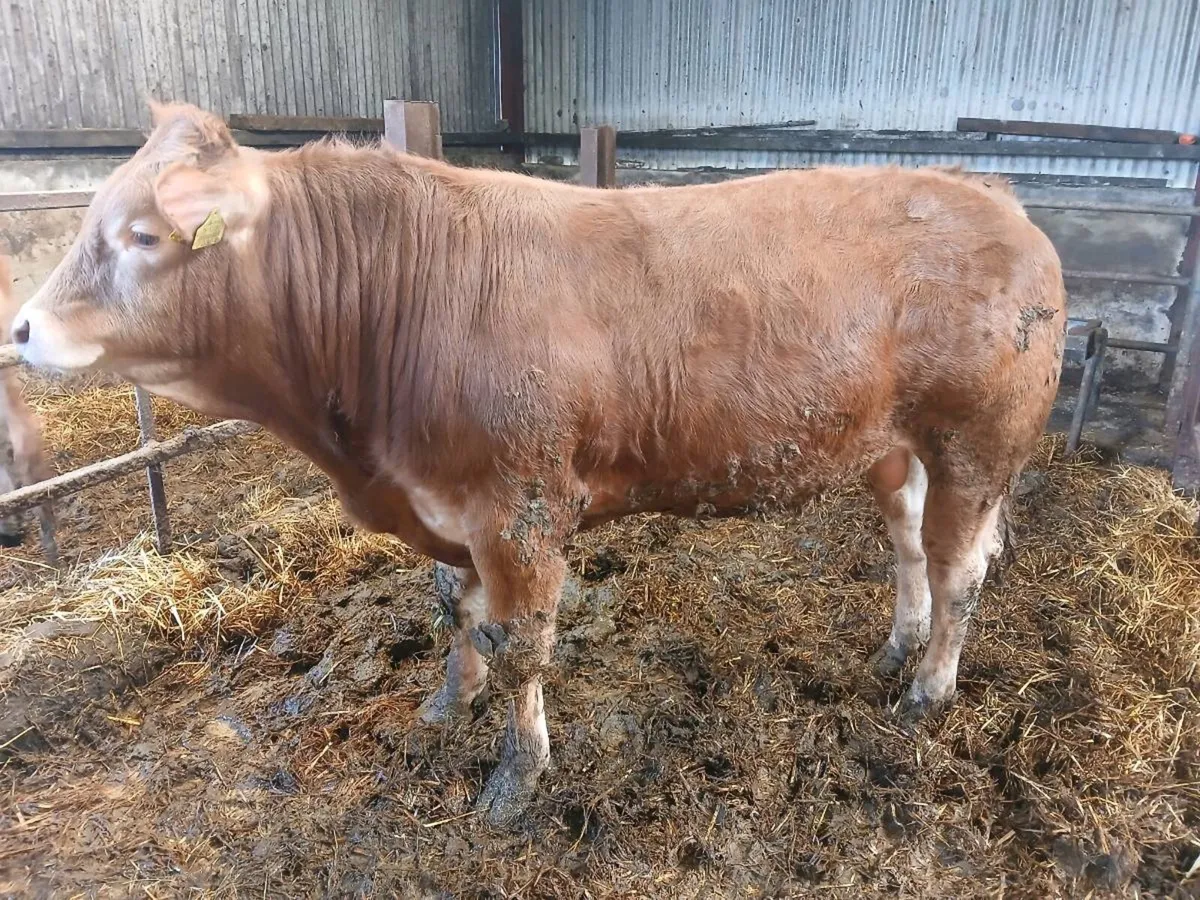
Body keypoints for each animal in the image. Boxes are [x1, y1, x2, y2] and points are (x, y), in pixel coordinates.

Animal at [10, 103, 1066, 824]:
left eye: (144, 235)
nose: (22, 329)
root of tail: (986, 193)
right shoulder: (448, 503)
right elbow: (455, 611)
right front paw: (447, 703)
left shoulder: (523, 509)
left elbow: (521, 646)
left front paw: (515, 778)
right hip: (892, 443)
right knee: (907, 543)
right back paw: (897, 647)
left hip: (979, 441)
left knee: (960, 568)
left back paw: (928, 691)